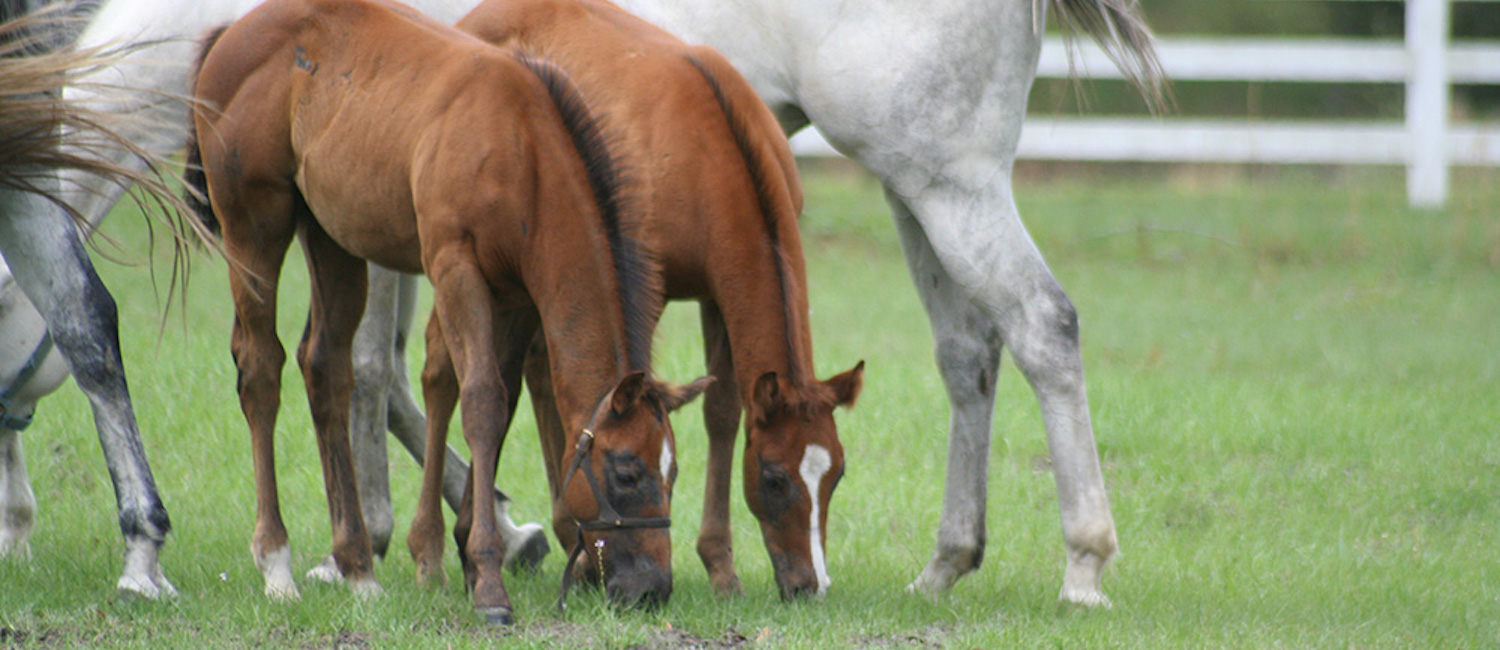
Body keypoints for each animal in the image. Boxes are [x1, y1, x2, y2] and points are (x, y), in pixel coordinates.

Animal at [187, 0, 709, 619]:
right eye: (627, 471)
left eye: (673, 470)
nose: (652, 588)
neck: (521, 149)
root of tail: (231, 33)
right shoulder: (456, 268)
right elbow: (482, 400)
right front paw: (487, 580)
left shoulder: (515, 294)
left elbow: (497, 401)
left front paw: (464, 557)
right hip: (253, 225)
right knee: (261, 368)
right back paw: (277, 564)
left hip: (333, 237)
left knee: (326, 368)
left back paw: (358, 566)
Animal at [439, 0, 865, 600]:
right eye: (776, 477)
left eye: (838, 473)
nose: (811, 585)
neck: (712, 155)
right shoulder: (644, 289)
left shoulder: (718, 293)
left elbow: (722, 412)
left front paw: (721, 567)